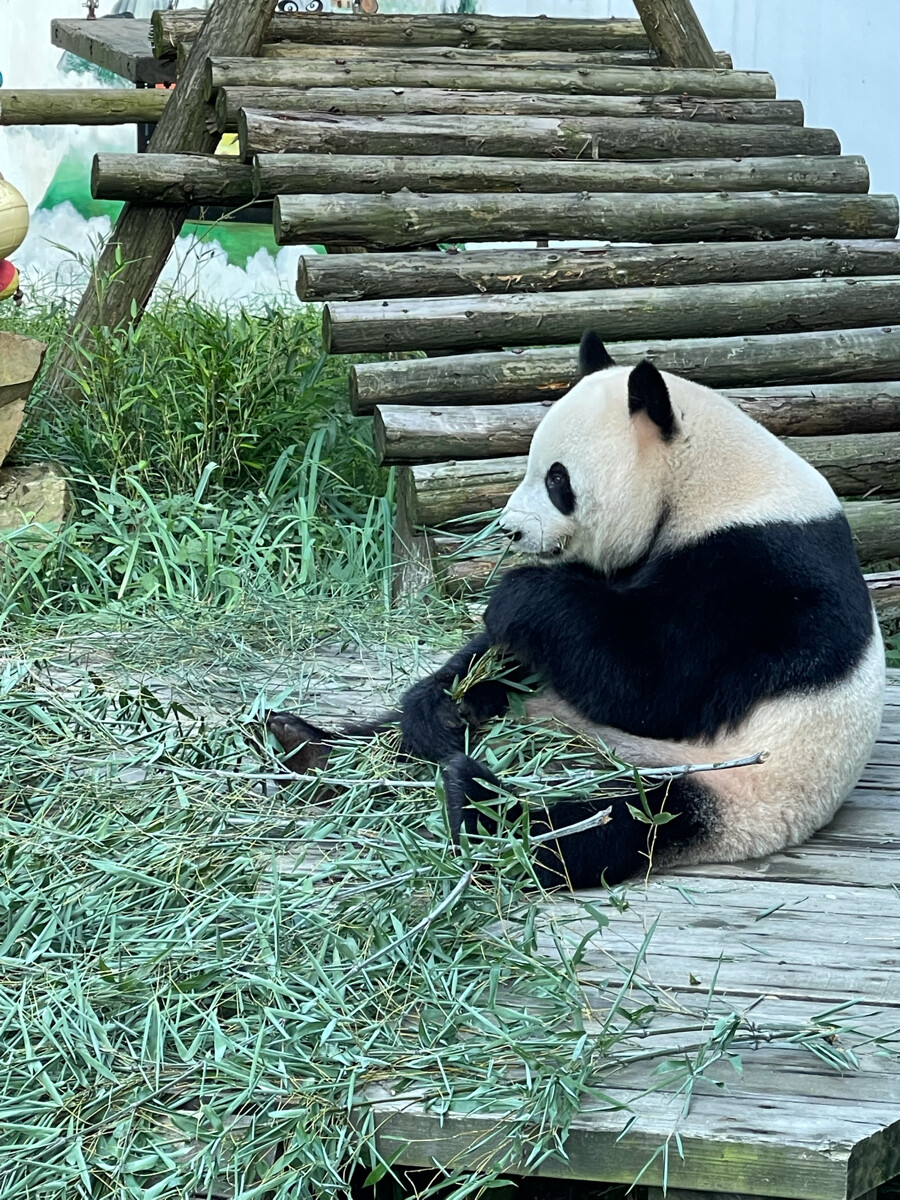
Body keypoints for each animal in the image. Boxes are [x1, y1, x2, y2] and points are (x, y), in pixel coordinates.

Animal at [270, 333, 888, 888]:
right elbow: (546, 646)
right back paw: (310, 743)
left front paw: (515, 593)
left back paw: (479, 801)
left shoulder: (755, 572)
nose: (510, 531)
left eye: (557, 479)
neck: (706, 481)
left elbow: (653, 686)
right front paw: (440, 705)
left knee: (618, 822)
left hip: (745, 782)